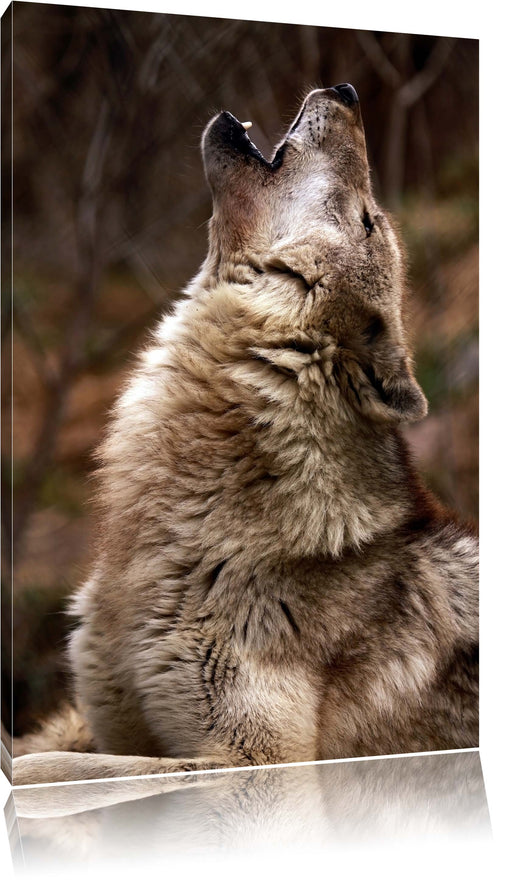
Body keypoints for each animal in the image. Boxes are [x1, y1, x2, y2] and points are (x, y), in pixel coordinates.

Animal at [12, 84, 478, 788]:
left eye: (367, 221)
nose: (346, 91)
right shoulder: (113, 718)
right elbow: (66, 755)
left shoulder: (257, 761)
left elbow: (61, 771)